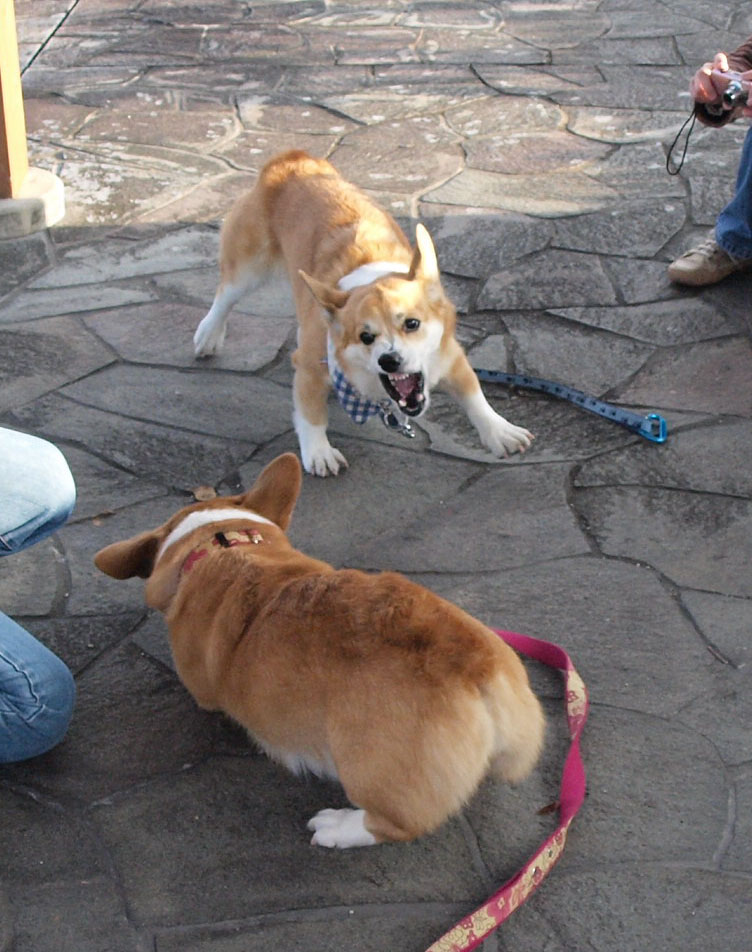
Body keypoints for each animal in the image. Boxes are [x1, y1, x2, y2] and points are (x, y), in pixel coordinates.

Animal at [193, 150, 533, 476]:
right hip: (250, 267)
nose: (389, 360)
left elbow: (474, 394)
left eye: (412, 323)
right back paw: (208, 335)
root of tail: (291, 161)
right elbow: (310, 414)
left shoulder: (450, 356)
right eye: (365, 337)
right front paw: (319, 453)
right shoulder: (311, 368)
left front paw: (500, 432)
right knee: (225, 295)